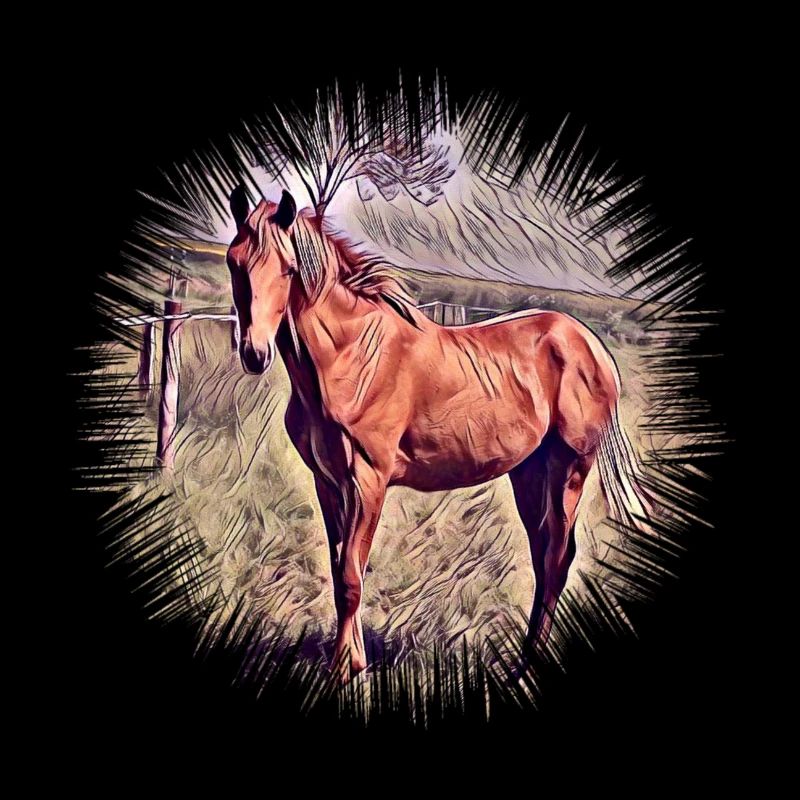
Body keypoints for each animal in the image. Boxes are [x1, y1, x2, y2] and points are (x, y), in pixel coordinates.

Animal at [226, 186, 651, 682]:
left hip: (570, 467)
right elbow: (339, 569)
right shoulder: (328, 482)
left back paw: (528, 668)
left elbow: (352, 577)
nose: (254, 353)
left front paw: (342, 672)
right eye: (235, 262)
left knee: (557, 559)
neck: (353, 357)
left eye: (288, 268)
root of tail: (589, 343)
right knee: (544, 555)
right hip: (529, 471)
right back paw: (521, 663)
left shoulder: (368, 481)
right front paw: (353, 660)